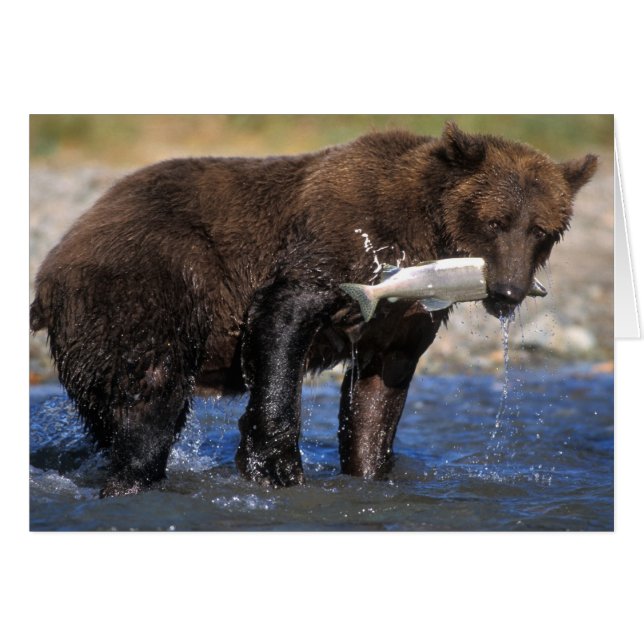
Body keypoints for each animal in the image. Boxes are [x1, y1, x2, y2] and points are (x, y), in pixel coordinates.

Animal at [30, 122, 598, 497]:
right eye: (496, 221)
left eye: (542, 229)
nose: (508, 291)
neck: (424, 233)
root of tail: (53, 264)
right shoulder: (342, 241)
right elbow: (283, 319)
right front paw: (274, 464)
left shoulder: (402, 319)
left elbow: (378, 393)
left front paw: (367, 469)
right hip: (146, 287)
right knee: (150, 401)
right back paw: (133, 477)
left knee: (113, 415)